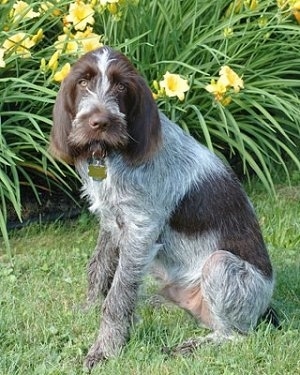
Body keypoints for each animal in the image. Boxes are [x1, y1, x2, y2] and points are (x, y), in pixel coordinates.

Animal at [49, 46, 276, 370]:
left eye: (121, 87)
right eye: (83, 82)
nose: (99, 123)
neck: (113, 156)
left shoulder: (140, 229)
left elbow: (118, 296)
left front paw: (105, 349)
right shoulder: (111, 220)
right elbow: (99, 268)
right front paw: (89, 307)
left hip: (220, 266)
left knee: (236, 334)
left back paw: (191, 345)